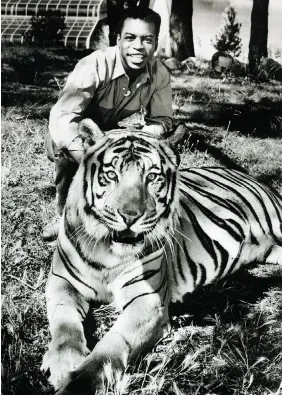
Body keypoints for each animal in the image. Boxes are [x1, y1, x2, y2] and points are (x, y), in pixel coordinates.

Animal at [41, 119, 282, 394]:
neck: (108, 250)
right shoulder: (62, 282)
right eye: (111, 175)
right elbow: (64, 322)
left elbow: (112, 344)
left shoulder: (147, 301)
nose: (130, 216)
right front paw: (63, 361)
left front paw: (79, 383)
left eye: (152, 177)